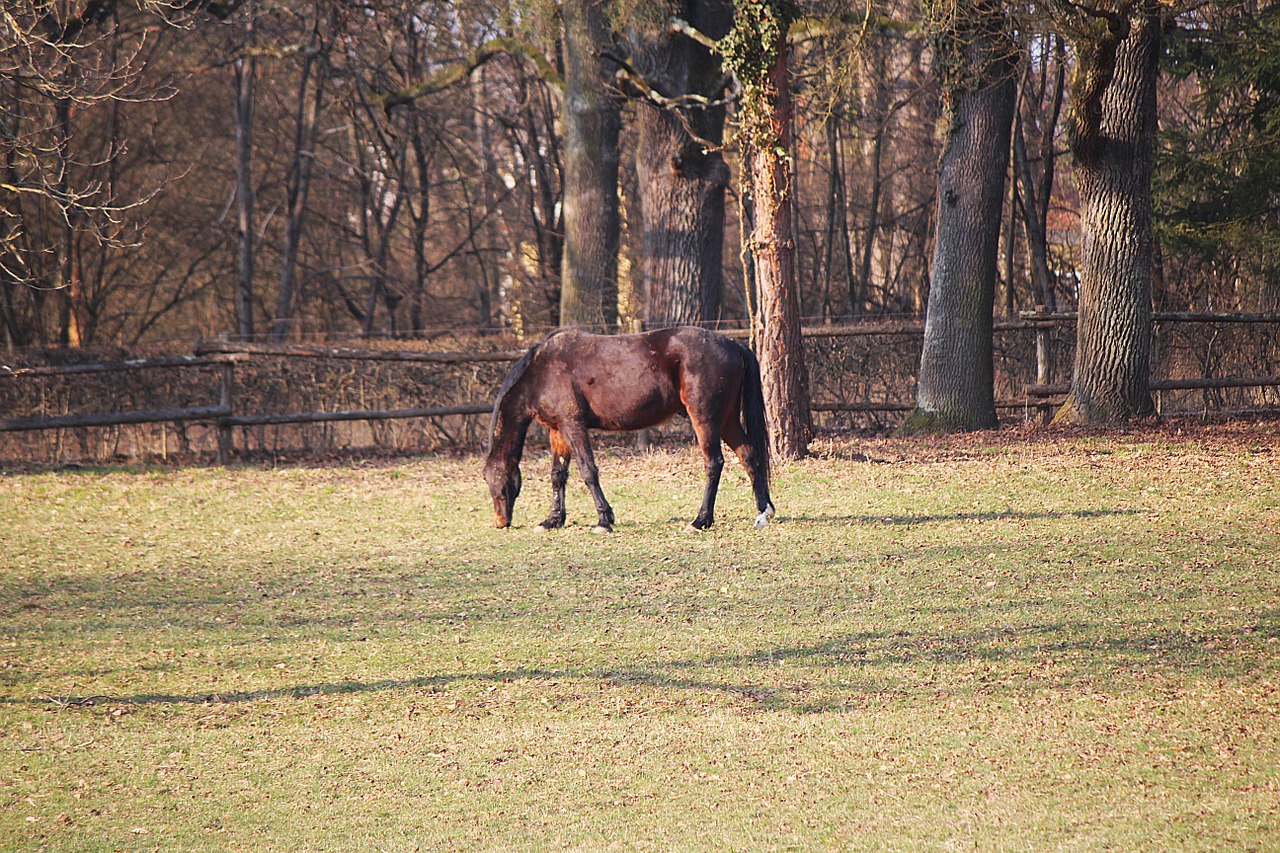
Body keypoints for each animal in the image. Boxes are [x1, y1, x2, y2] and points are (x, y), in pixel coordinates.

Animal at [483, 325, 773, 532]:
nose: (501, 521)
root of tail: (733, 344)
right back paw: (763, 512)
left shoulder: (573, 425)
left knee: (714, 463)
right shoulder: (558, 431)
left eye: (495, 479)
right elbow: (558, 475)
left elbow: (588, 471)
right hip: (727, 420)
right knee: (748, 455)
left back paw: (700, 520)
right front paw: (552, 520)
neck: (542, 371)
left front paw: (604, 520)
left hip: (705, 419)